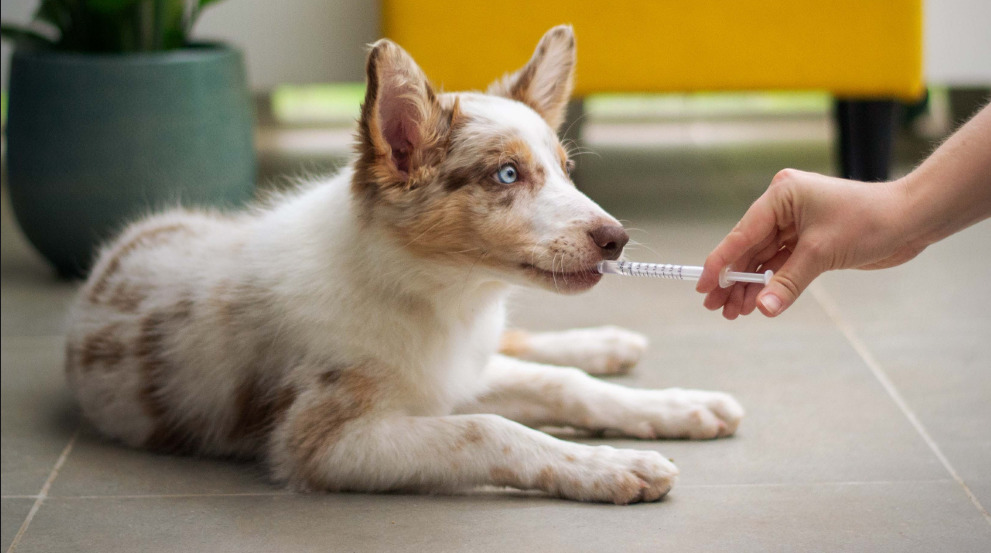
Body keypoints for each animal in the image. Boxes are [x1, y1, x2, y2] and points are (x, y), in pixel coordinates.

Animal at [64, 25, 744, 502]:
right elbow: (491, 429)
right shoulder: (324, 442)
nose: (617, 240)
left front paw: (674, 408)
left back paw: (608, 345)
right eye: (507, 174)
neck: (435, 296)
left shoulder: (455, 371)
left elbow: (563, 385)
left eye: (566, 171)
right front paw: (613, 467)